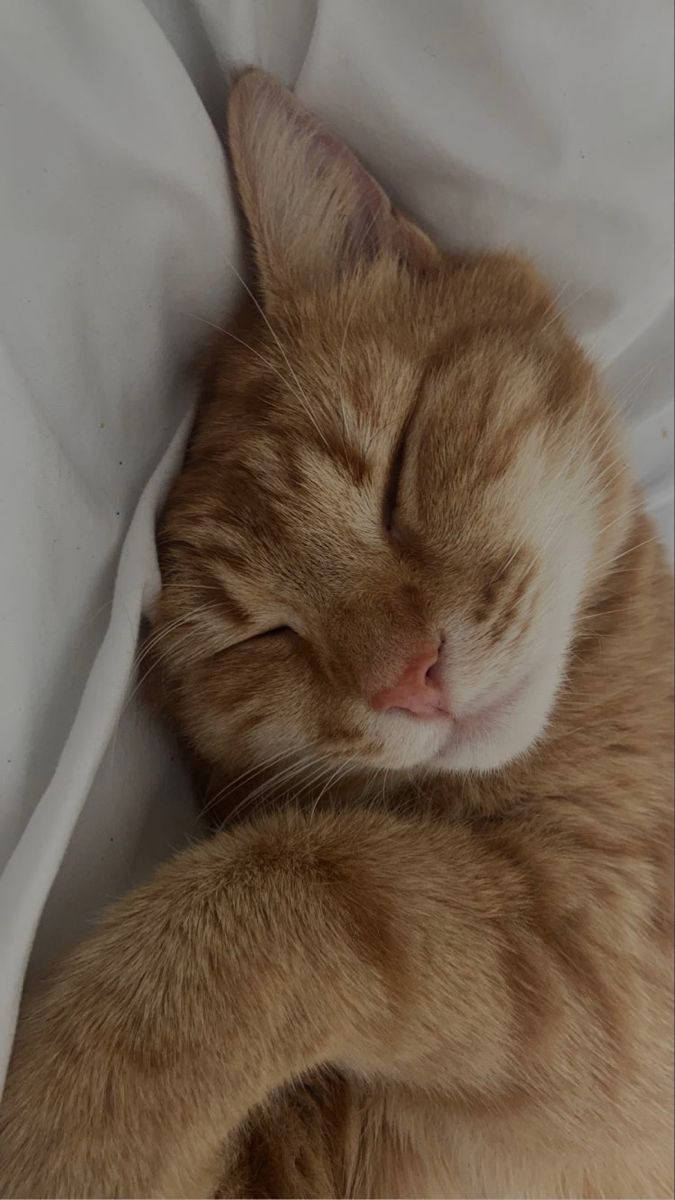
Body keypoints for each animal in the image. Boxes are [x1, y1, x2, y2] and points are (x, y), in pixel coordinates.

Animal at [1, 70, 672, 1200]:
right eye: (259, 638)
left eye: (396, 476)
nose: (414, 679)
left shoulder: (603, 969)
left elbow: (309, 889)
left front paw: (65, 1121)